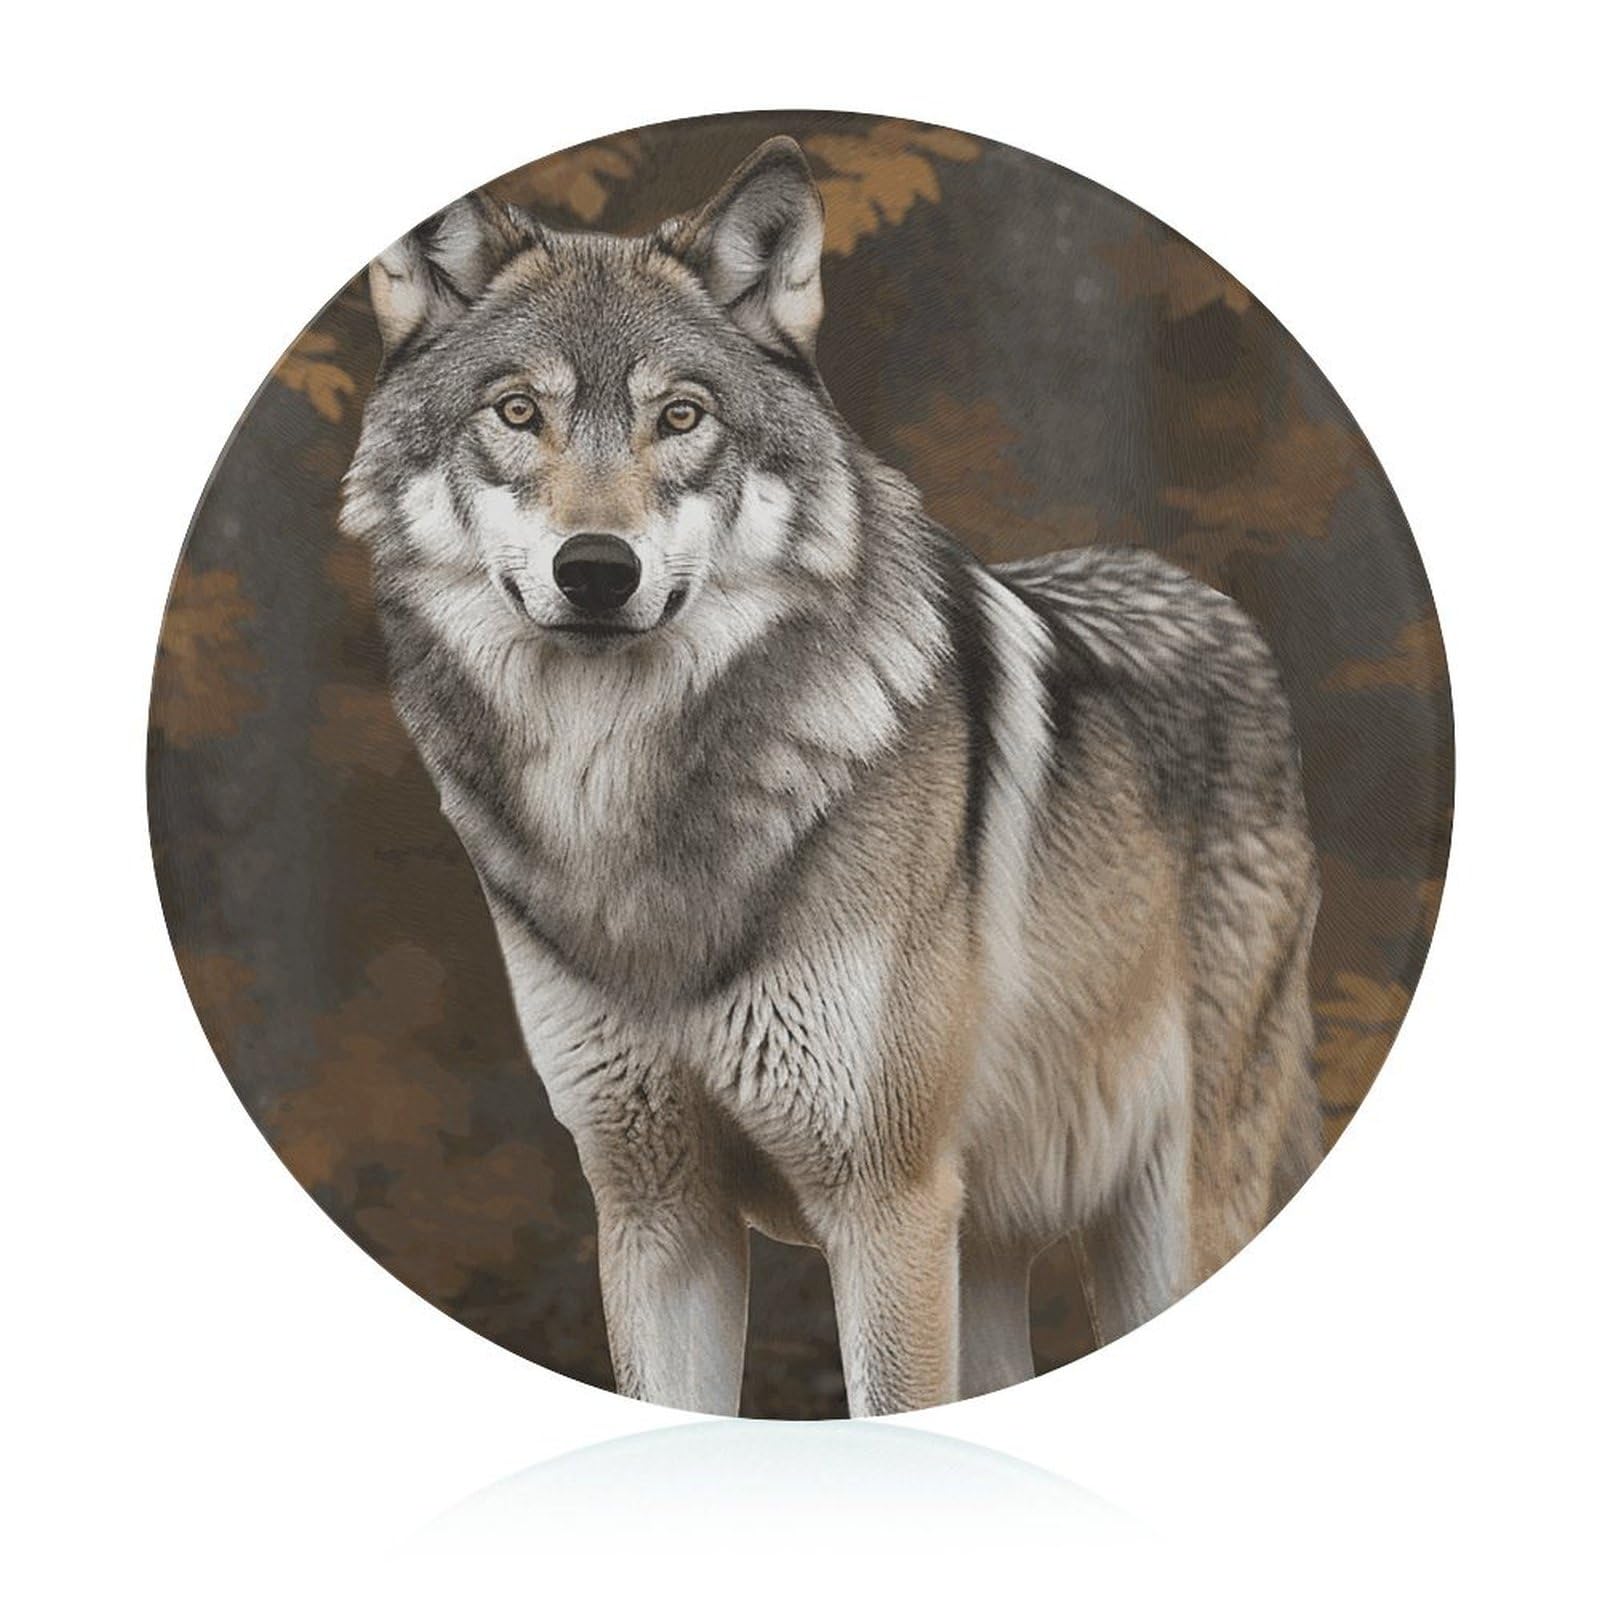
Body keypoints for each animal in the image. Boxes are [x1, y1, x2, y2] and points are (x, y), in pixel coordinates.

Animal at [341, 137, 1322, 1417]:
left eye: (681, 415)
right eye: (517, 412)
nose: (596, 570)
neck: (631, 816)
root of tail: (1212, 604)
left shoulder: (884, 1206)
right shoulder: (655, 1212)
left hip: (1163, 1226)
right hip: (987, 1250)